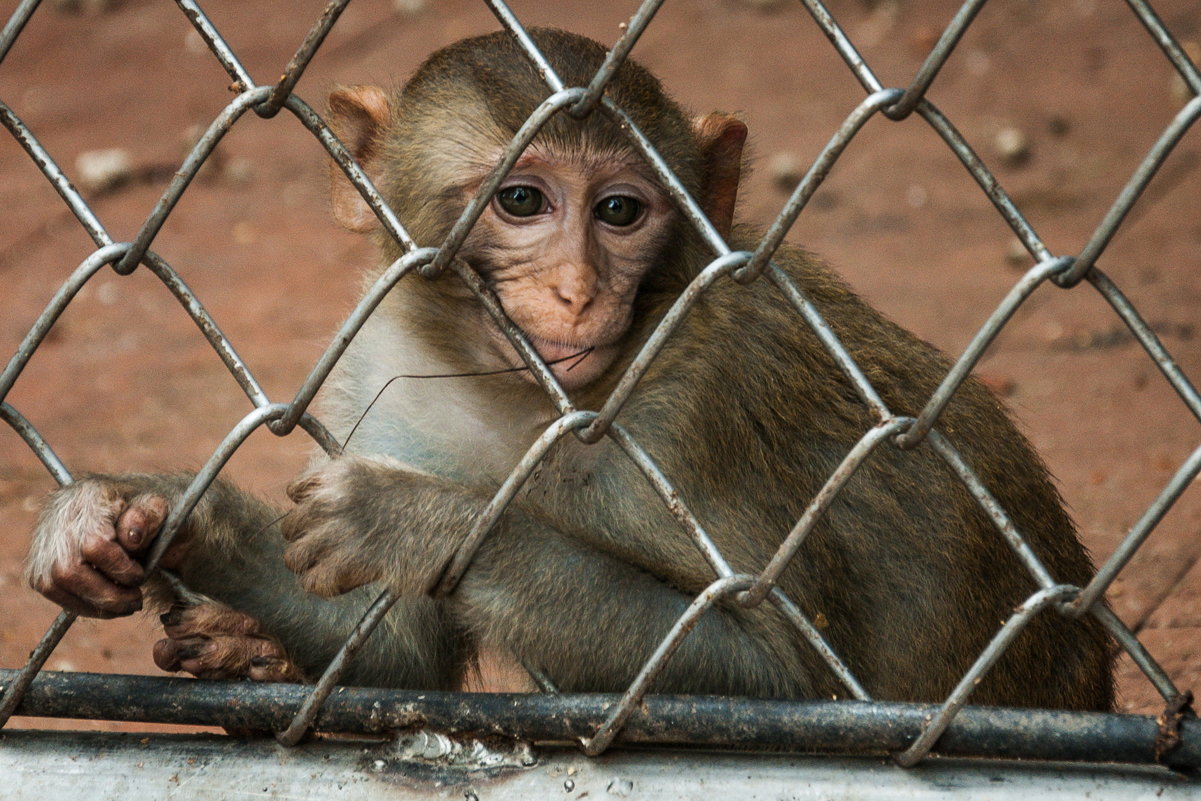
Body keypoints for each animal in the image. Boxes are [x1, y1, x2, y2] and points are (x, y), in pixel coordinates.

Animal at [23, 28, 1114, 710]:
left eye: (620, 212)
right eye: (520, 201)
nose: (578, 292)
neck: (537, 400)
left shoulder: (706, 398)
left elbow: (773, 666)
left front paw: (418, 524)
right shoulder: (387, 356)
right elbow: (400, 655)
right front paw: (138, 509)